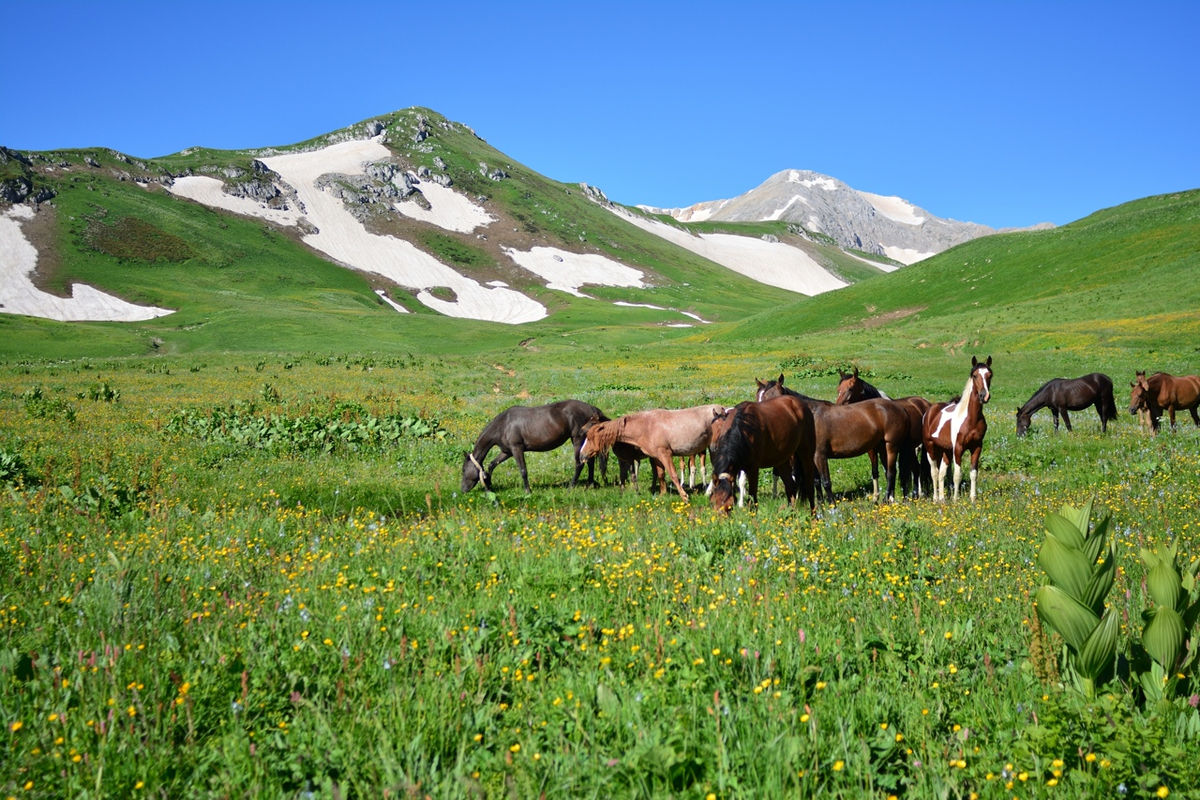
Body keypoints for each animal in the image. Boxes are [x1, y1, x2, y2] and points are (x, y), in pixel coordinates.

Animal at [460, 400, 609, 494]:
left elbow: (523, 470)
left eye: (463, 470)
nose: (463, 490)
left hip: (577, 440)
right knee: (590, 462)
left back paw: (571, 487)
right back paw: (590, 484)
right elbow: (491, 465)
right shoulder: (507, 452)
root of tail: (591, 409)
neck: (504, 425)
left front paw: (528, 491)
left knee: (580, 463)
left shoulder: (517, 449)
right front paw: (489, 485)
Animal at [578, 407, 720, 501]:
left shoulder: (664, 454)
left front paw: (684, 496)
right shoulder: (654, 457)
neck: (646, 427)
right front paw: (662, 494)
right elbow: (660, 474)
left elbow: (672, 475)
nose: (581, 455)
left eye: (589, 437)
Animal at [753, 376, 912, 501]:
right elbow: (816, 481)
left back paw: (886, 500)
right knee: (888, 471)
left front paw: (832, 507)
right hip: (881, 447)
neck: (811, 417)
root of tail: (899, 407)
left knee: (891, 472)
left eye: (778, 396)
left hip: (891, 446)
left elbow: (826, 482)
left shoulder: (820, 456)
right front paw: (820, 503)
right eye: (761, 397)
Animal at [916, 357, 993, 501]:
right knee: (934, 472)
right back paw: (935, 498)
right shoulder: (958, 448)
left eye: (989, 375)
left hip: (945, 450)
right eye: (975, 375)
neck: (971, 419)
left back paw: (942, 499)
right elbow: (957, 475)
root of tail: (929, 411)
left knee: (941, 472)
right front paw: (956, 500)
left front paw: (972, 499)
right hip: (930, 447)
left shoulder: (977, 447)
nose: (984, 396)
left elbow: (973, 473)